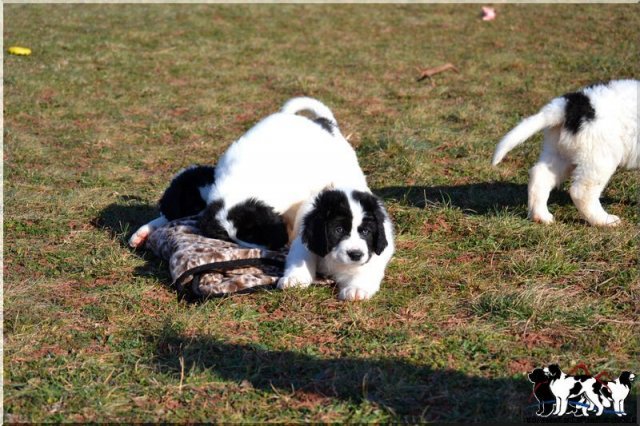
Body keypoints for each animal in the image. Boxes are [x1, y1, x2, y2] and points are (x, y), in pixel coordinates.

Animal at [492, 79, 639, 226]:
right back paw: (604, 221)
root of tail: (569, 106)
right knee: (581, 192)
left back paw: (541, 216)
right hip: (600, 156)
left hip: (561, 153)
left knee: (540, 175)